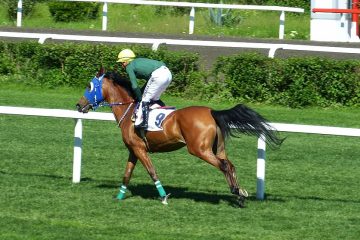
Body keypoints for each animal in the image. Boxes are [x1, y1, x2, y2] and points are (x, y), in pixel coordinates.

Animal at [76, 70, 284, 207]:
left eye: (89, 86)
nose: (79, 105)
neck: (129, 112)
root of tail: (212, 112)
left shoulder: (140, 149)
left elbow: (152, 172)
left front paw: (164, 197)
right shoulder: (133, 150)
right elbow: (127, 174)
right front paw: (119, 196)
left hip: (199, 149)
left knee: (224, 166)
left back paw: (237, 195)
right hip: (218, 148)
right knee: (230, 165)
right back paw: (240, 192)